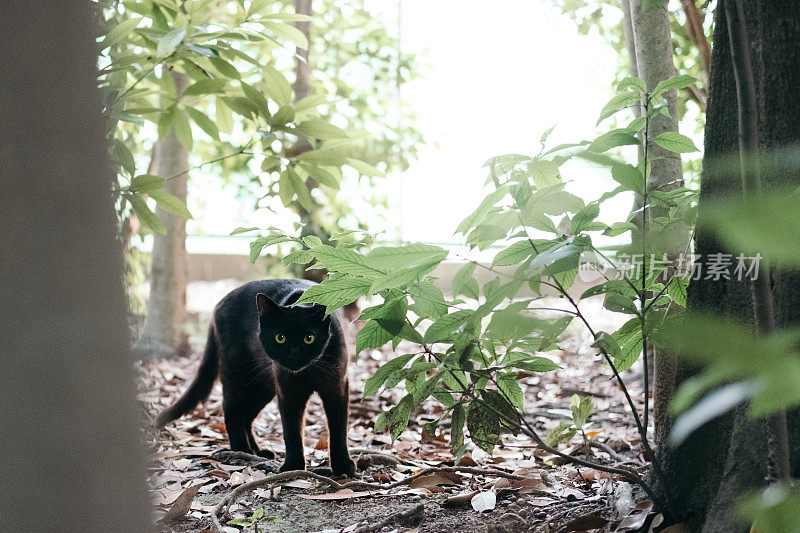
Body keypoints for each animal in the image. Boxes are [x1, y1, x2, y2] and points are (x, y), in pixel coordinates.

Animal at [156, 278, 356, 474]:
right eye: (280, 337)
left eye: (309, 338)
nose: (294, 356)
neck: (307, 371)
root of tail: (219, 304)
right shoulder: (288, 392)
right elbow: (291, 429)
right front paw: (293, 466)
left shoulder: (337, 387)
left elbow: (338, 427)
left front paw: (342, 465)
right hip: (236, 375)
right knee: (232, 411)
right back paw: (242, 451)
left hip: (261, 386)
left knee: (247, 417)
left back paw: (257, 451)